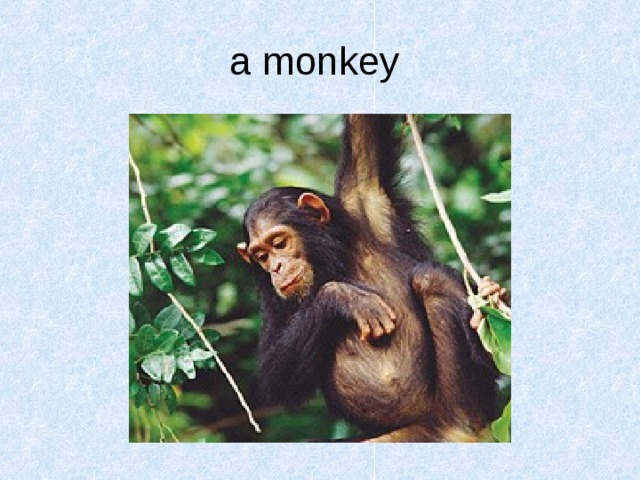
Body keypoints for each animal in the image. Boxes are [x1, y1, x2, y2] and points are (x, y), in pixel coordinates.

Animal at [237, 115, 500, 442]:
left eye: (279, 243)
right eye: (261, 256)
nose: (276, 267)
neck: (334, 263)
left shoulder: (365, 194)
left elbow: (364, 130)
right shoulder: (273, 299)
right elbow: (276, 377)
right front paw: (343, 298)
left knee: (430, 277)